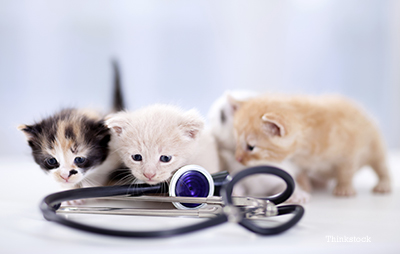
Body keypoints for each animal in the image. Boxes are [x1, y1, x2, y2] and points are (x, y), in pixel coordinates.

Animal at [230, 94, 392, 195]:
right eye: (237, 142)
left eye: (251, 147)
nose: (237, 158)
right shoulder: (300, 162)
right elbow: (301, 173)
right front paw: (304, 186)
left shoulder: (349, 149)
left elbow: (346, 170)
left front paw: (344, 187)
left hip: (375, 145)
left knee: (381, 166)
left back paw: (384, 184)